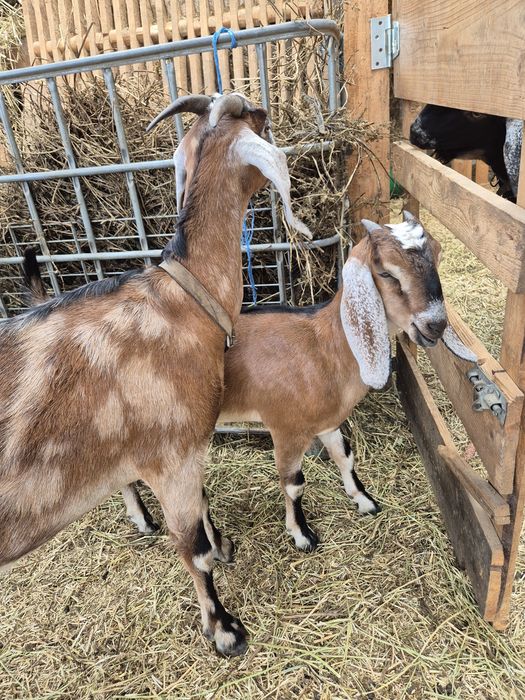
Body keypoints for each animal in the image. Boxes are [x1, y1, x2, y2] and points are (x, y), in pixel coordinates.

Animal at [1, 92, 311, 656]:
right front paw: (224, 629)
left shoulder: (185, 452)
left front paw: (222, 542)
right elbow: (191, 549)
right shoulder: (171, 455)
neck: (182, 301)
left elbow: (204, 510)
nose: (266, 110)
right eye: (247, 114)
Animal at [24, 212, 475, 554]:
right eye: (386, 271)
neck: (322, 346)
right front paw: (302, 536)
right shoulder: (287, 428)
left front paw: (364, 501)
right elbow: (294, 484)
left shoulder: (328, 420)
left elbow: (345, 456)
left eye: (437, 254)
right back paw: (147, 520)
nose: (435, 325)